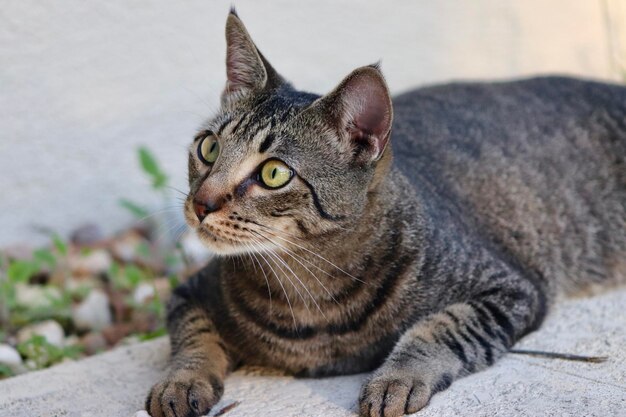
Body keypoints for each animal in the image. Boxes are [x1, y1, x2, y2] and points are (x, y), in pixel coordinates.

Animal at [145, 7, 624, 416]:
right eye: (209, 148)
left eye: (274, 174)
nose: (201, 202)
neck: (310, 299)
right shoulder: (188, 292)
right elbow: (192, 339)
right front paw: (180, 382)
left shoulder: (512, 290)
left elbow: (441, 327)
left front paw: (396, 378)